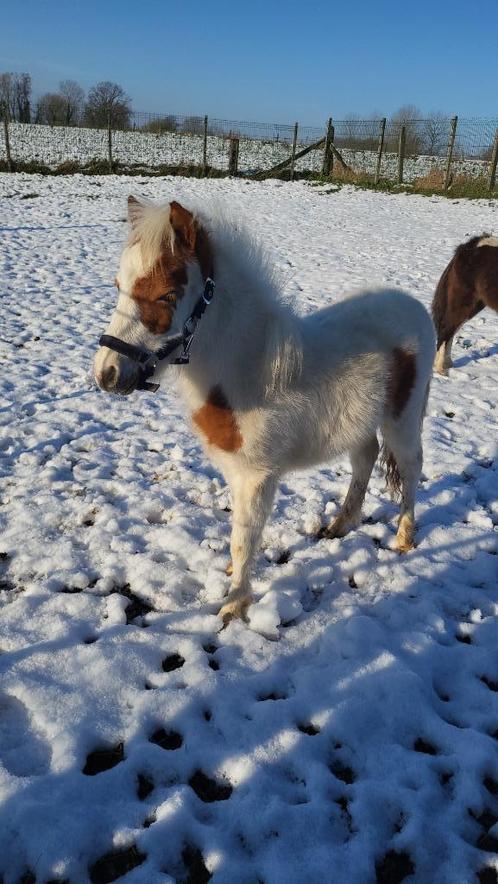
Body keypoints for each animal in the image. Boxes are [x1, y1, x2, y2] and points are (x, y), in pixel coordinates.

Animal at [94, 195, 436, 620]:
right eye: (119, 287)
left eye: (167, 295)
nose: (107, 373)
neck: (250, 370)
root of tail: (414, 306)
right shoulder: (235, 473)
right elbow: (240, 532)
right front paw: (231, 578)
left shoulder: (258, 476)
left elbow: (244, 537)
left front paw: (233, 607)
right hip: (360, 421)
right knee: (365, 457)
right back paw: (340, 525)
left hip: (402, 420)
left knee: (410, 468)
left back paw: (403, 540)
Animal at [432, 233, 498, 374]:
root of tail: (468, 247)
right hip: (464, 302)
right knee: (446, 329)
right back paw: (441, 369)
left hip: (474, 305)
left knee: (451, 330)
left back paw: (447, 364)